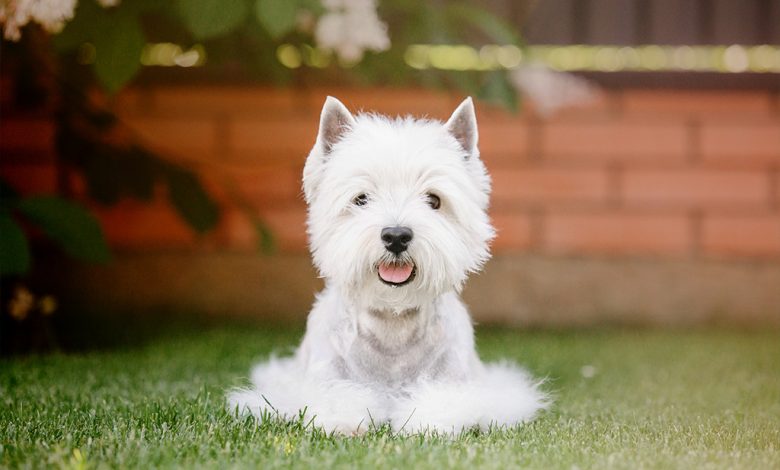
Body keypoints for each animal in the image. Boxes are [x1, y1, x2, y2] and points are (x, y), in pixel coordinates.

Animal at [229, 95, 548, 434]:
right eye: (361, 199)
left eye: (433, 200)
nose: (396, 236)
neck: (392, 324)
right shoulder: (322, 380)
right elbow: (334, 399)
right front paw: (345, 422)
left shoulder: (457, 383)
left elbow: (444, 401)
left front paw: (424, 422)